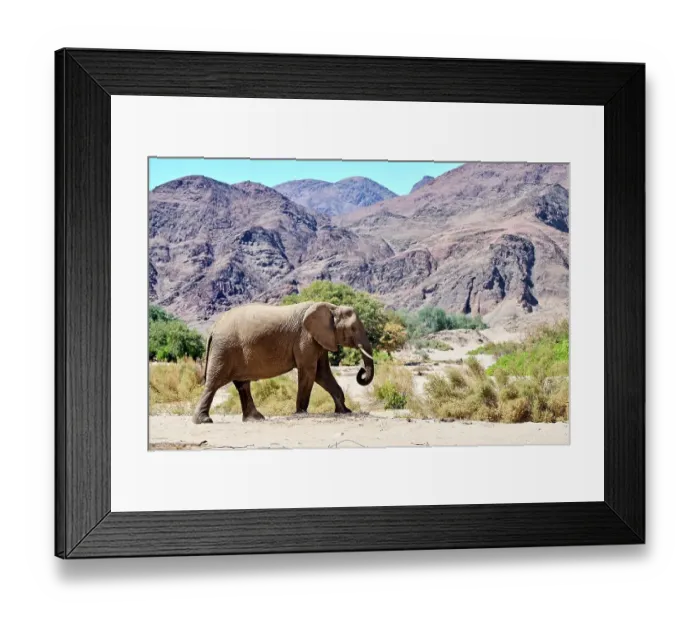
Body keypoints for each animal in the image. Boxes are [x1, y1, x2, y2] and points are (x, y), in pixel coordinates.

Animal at [192, 301, 374, 424]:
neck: (332, 307)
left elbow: (322, 373)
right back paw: (204, 421)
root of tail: (213, 328)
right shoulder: (305, 338)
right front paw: (300, 413)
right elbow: (309, 371)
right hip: (224, 349)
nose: (361, 372)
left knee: (242, 385)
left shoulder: (319, 340)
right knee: (214, 382)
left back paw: (256, 418)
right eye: (353, 329)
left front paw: (345, 411)